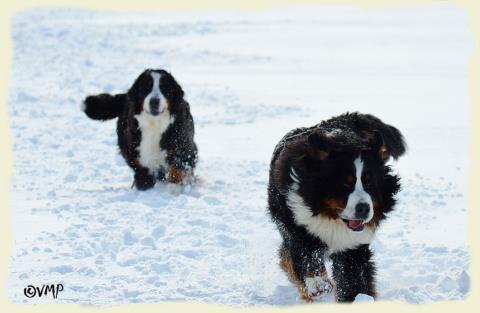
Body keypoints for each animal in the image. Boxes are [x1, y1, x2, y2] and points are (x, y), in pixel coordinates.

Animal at [268, 112, 406, 300]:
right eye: (345, 184)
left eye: (370, 183)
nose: (363, 208)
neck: (331, 218)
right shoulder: (297, 225)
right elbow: (305, 255)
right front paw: (319, 284)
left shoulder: (352, 247)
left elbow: (353, 281)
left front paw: (359, 300)